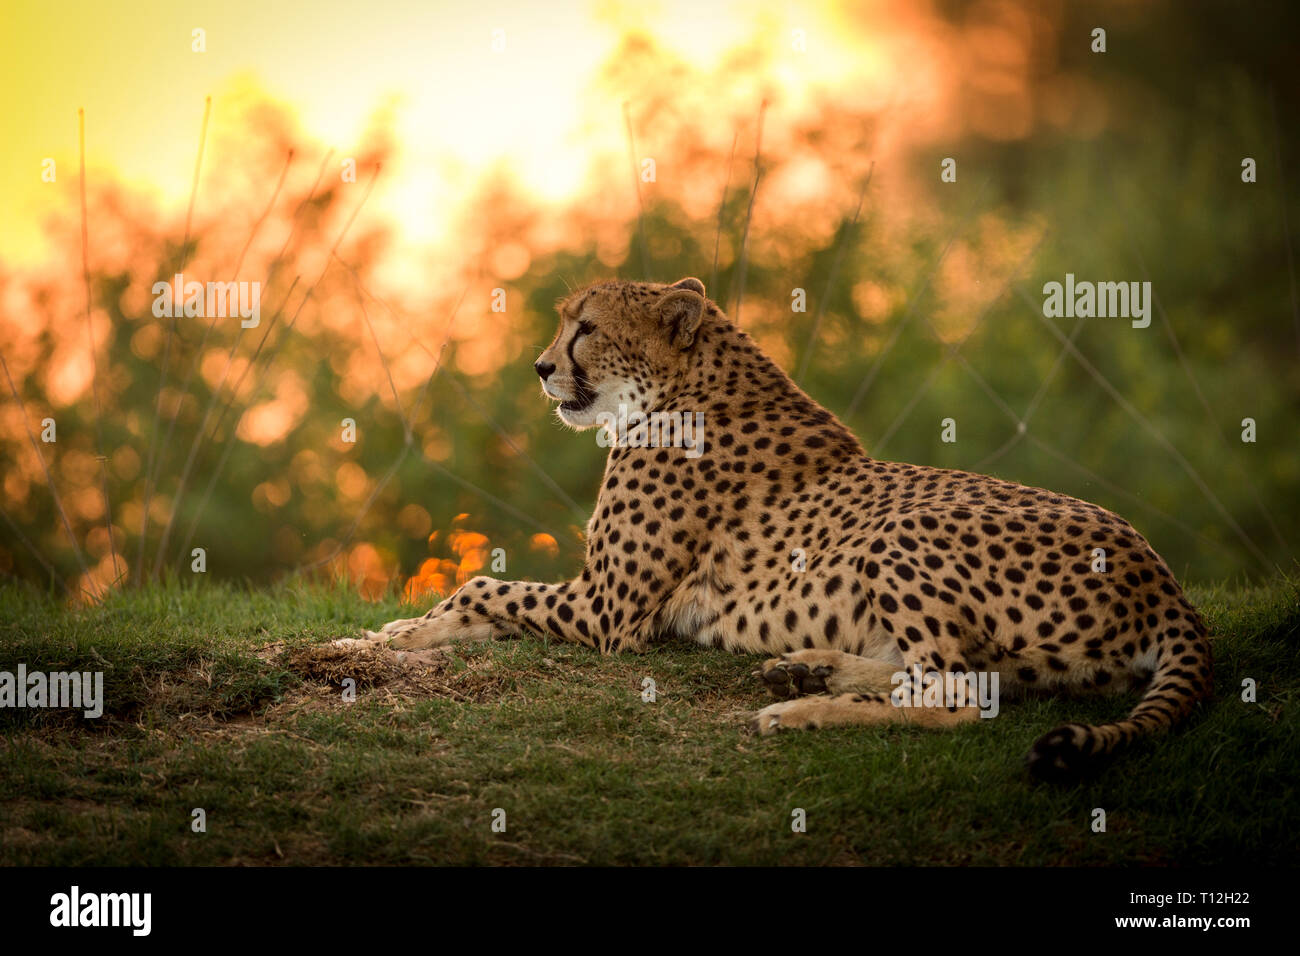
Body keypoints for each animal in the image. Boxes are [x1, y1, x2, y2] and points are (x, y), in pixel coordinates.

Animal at [365, 276, 1214, 781]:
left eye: (587, 329)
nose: (541, 369)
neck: (687, 386)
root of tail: (1164, 579)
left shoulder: (609, 612)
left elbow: (481, 586)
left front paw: (390, 636)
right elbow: (478, 593)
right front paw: (395, 632)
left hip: (904, 527)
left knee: (956, 697)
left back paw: (798, 710)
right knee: (967, 675)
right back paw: (812, 669)